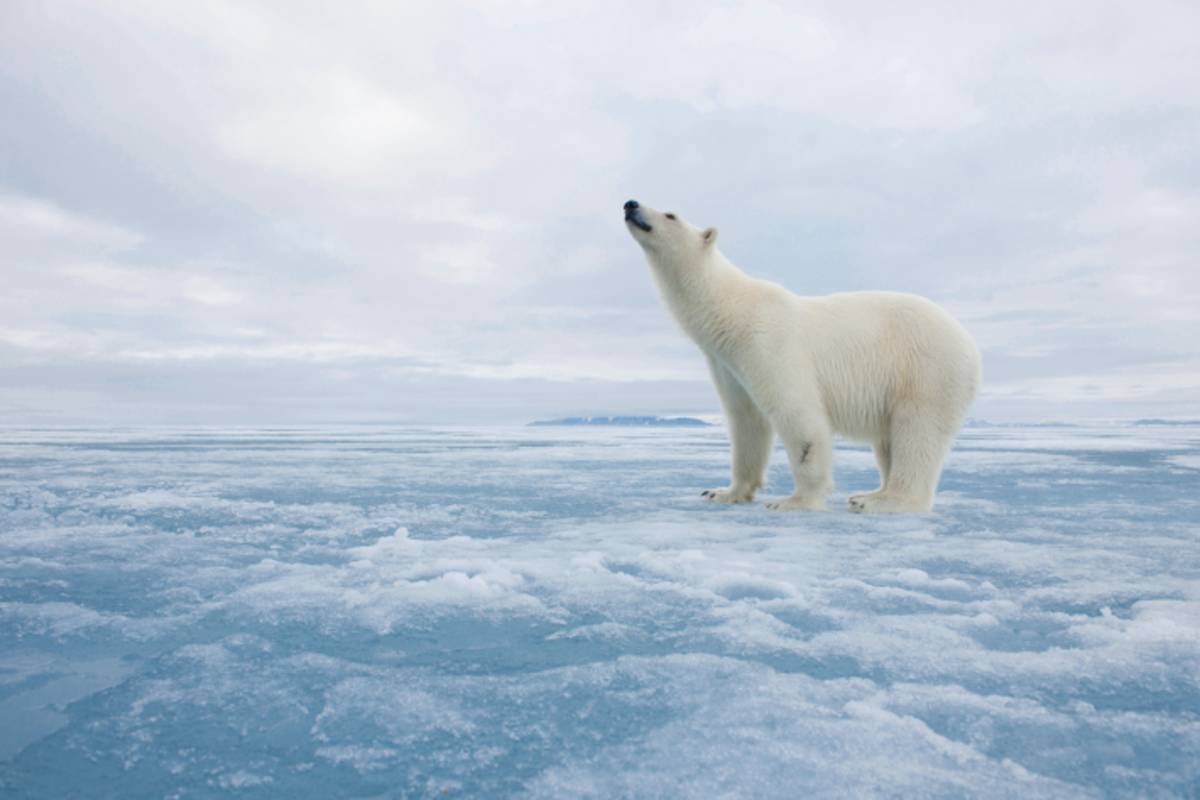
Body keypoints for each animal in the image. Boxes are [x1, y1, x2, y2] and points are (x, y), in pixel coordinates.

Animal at [623, 199, 981, 513]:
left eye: (670, 214)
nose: (631, 203)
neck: (734, 313)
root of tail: (969, 343)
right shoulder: (729, 364)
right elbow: (746, 422)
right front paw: (724, 492)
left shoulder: (770, 345)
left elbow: (798, 417)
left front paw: (793, 501)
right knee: (889, 441)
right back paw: (871, 492)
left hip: (926, 370)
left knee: (917, 432)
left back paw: (880, 500)